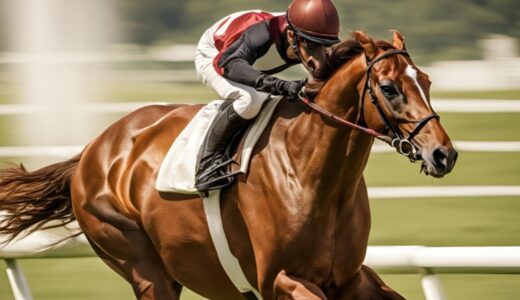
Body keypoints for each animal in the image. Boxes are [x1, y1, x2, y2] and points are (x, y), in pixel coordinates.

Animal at [0, 31, 456, 300]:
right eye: (389, 88)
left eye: (427, 80)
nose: (444, 154)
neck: (314, 176)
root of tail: (93, 151)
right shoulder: (277, 279)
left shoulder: (350, 278)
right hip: (141, 264)